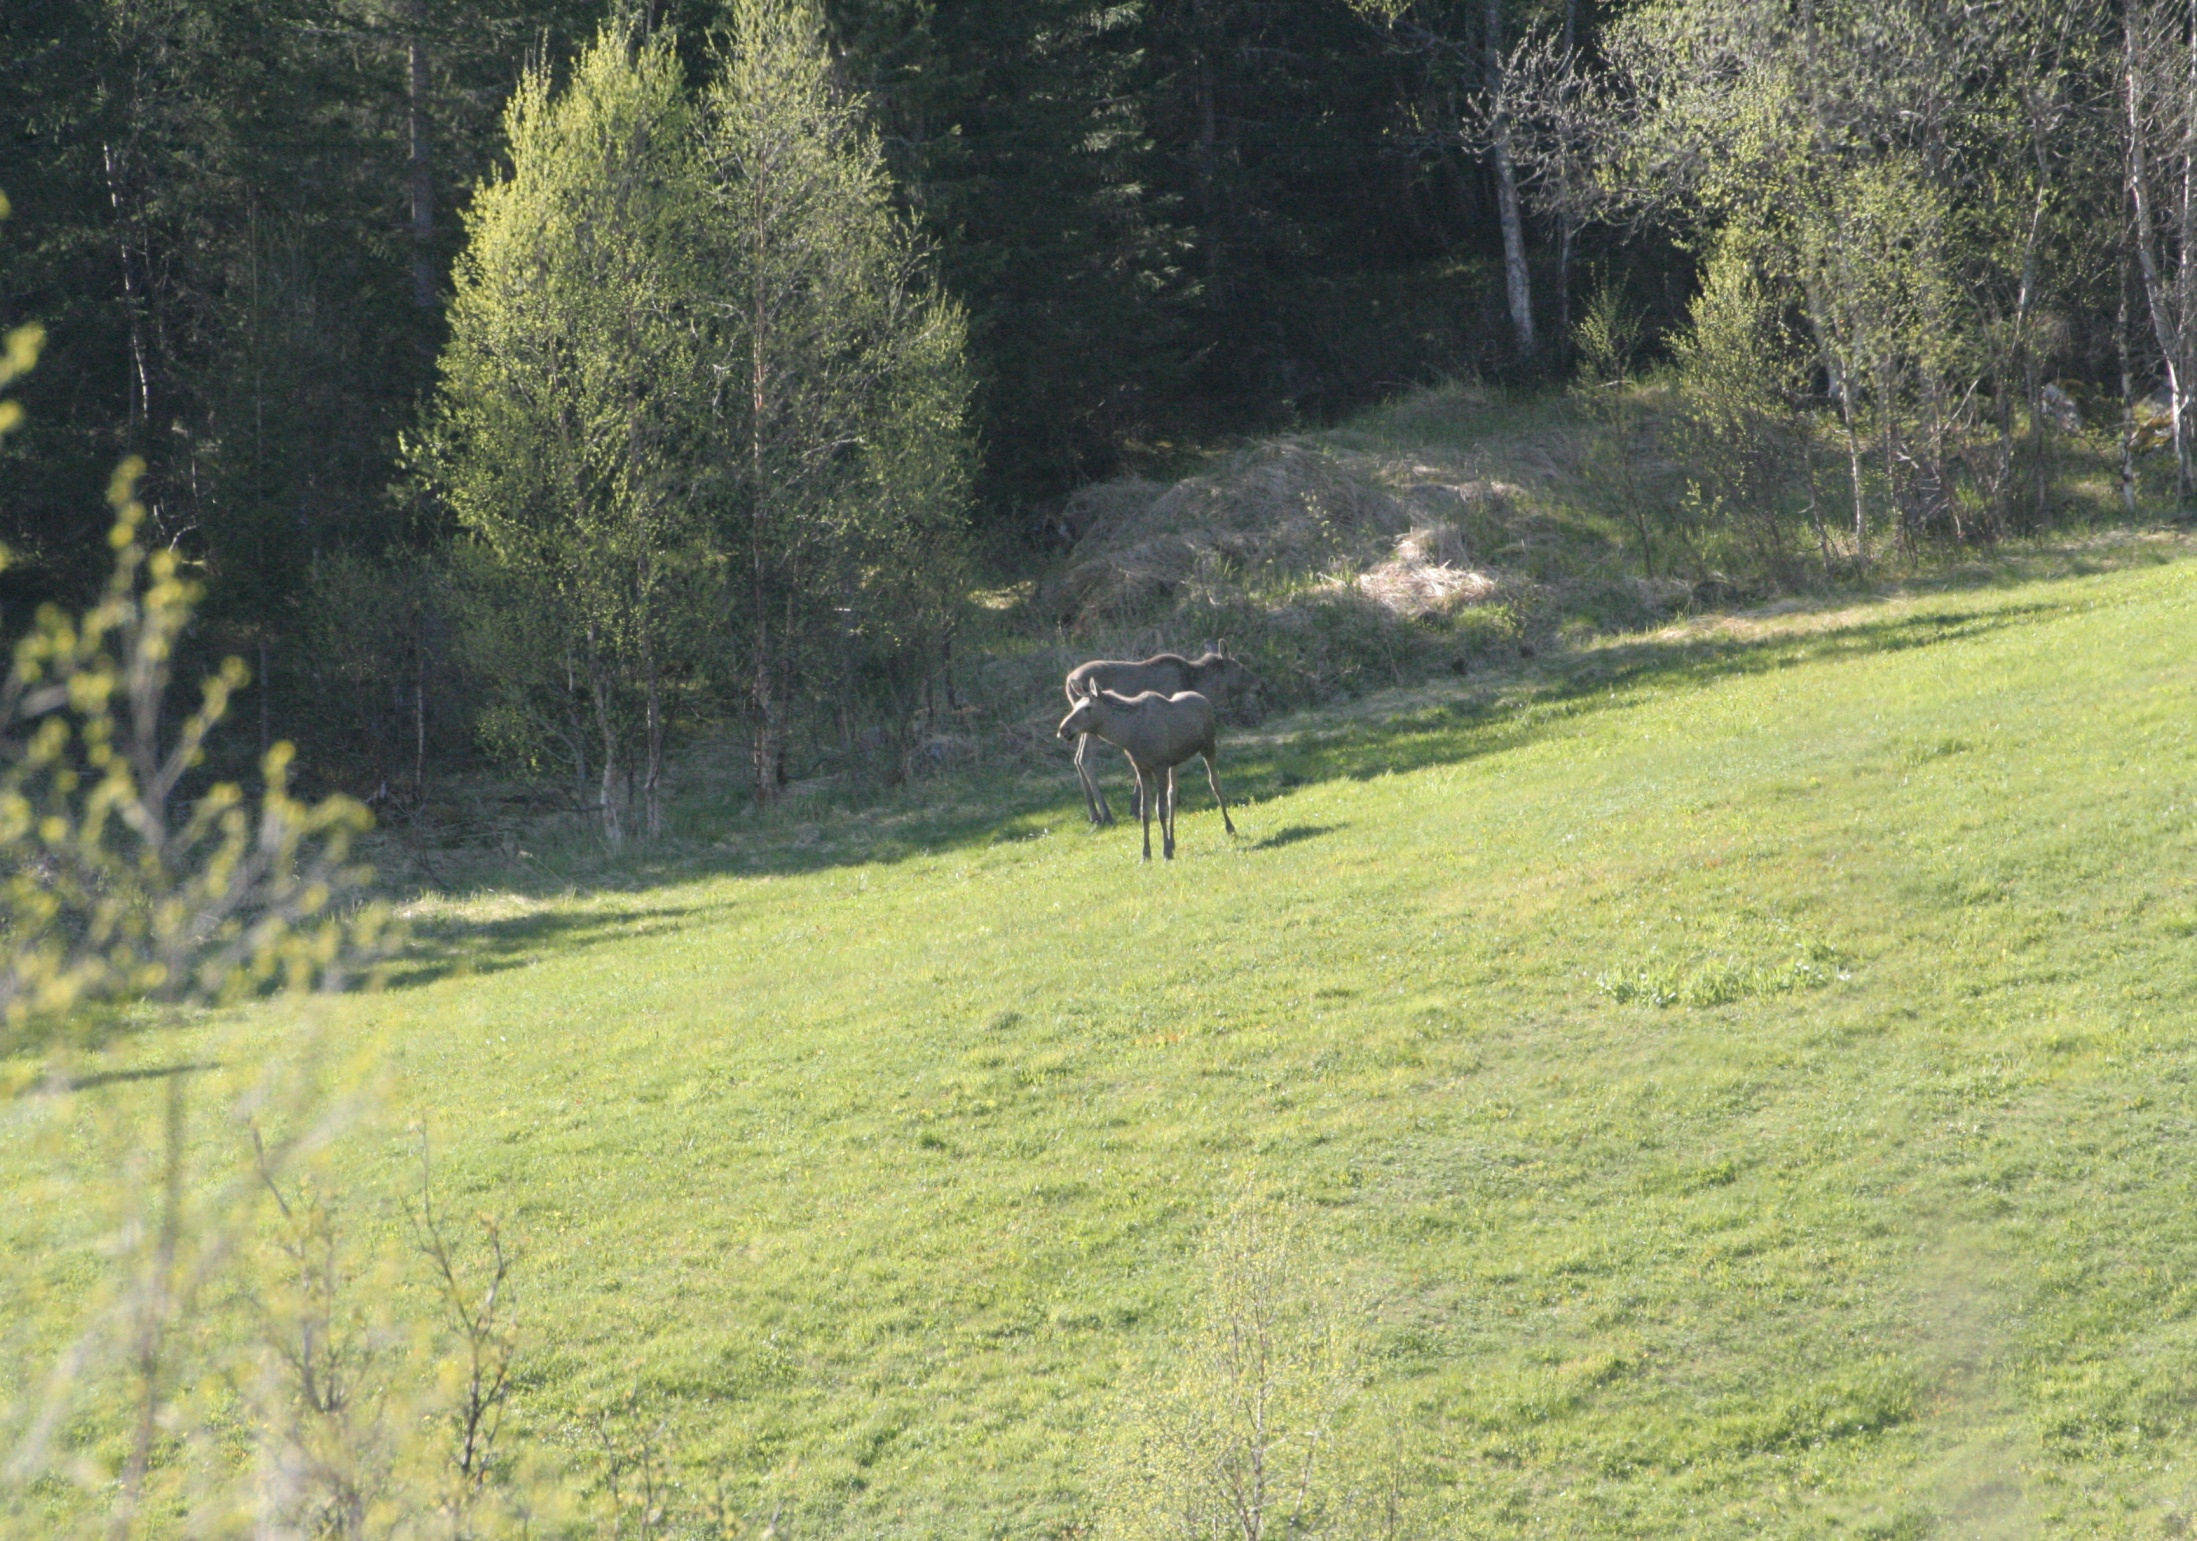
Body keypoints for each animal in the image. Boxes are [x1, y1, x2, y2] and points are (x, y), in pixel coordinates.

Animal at [1050, 681, 1239, 861]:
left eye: (1088, 708)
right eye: (1075, 705)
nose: (1063, 729)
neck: (1129, 736)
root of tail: (1204, 699)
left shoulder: (1159, 766)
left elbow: (1160, 810)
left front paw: (1165, 852)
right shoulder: (1142, 768)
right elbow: (1145, 812)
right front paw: (1146, 854)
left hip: (1208, 746)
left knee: (1215, 783)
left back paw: (1230, 828)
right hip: (1175, 762)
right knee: (1173, 793)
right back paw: (1172, 841)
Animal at [1058, 641, 1265, 822]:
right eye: (1241, 668)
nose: (1260, 686)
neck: (1196, 683)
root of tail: (1068, 682)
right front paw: (1146, 805)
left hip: (1083, 728)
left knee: (1077, 758)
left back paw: (1094, 814)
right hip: (1091, 728)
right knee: (1086, 759)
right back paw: (1106, 814)